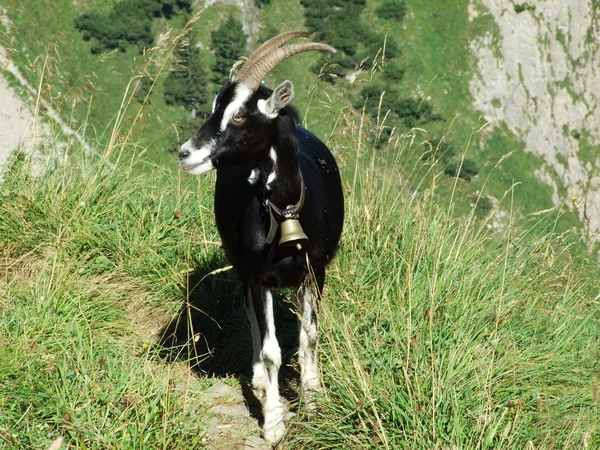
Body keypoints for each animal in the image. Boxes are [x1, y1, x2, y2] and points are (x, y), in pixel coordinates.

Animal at [178, 30, 344, 442]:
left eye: (238, 114)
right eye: (215, 107)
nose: (185, 153)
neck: (286, 210)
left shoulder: (316, 270)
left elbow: (308, 335)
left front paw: (313, 399)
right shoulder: (258, 276)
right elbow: (271, 350)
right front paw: (273, 421)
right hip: (241, 266)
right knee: (251, 314)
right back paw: (257, 379)